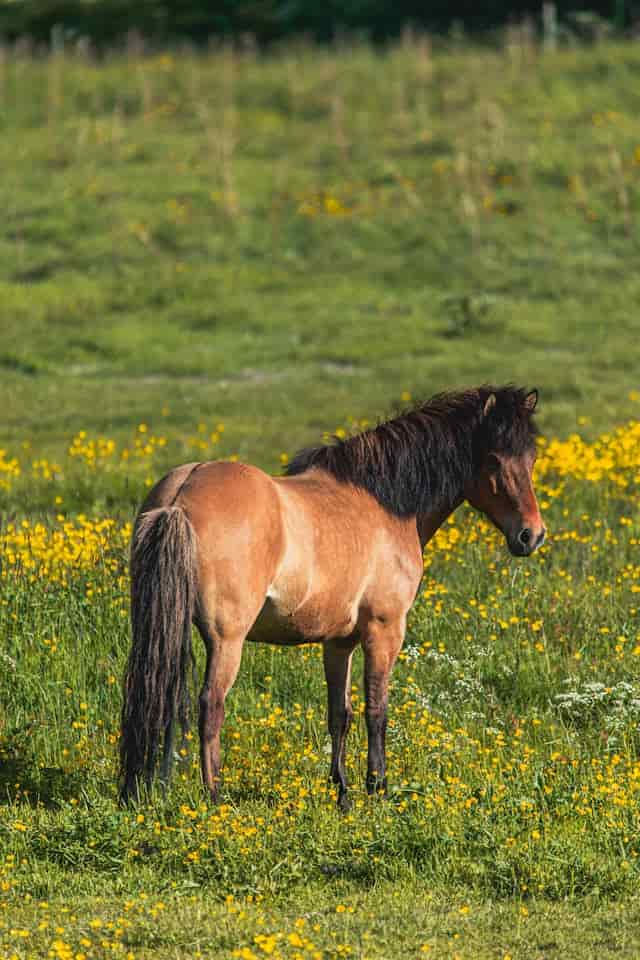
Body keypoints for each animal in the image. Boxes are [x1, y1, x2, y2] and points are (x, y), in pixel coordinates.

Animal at [120, 386, 544, 808]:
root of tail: (180, 496)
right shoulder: (384, 629)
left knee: (163, 695)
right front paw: (377, 786)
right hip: (227, 640)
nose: (532, 535)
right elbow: (377, 710)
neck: (385, 503)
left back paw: (151, 789)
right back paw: (215, 797)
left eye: (531, 458)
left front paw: (342, 791)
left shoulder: (339, 642)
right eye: (494, 459)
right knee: (211, 705)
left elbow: (340, 713)